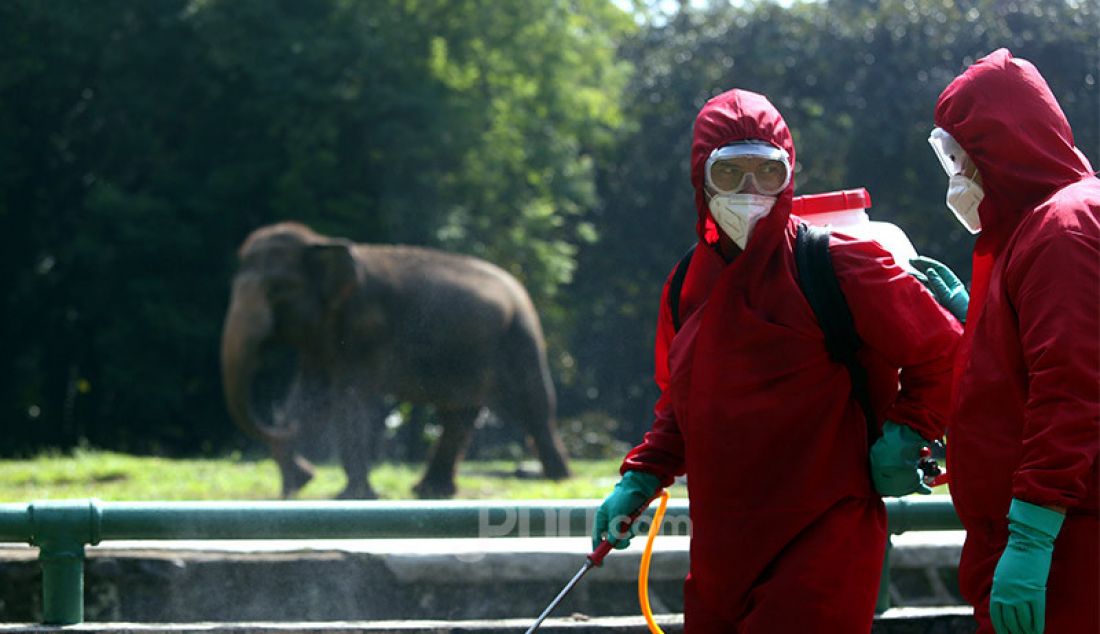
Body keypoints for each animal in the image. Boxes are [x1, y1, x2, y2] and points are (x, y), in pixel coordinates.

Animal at [218, 220, 572, 497]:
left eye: (279, 289)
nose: (309, 473)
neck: (323, 242)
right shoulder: (322, 340)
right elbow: (309, 393)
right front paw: (300, 484)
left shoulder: (366, 326)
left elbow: (349, 399)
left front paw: (350, 497)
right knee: (459, 413)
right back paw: (431, 491)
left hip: (520, 335)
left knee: (534, 406)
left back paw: (558, 481)